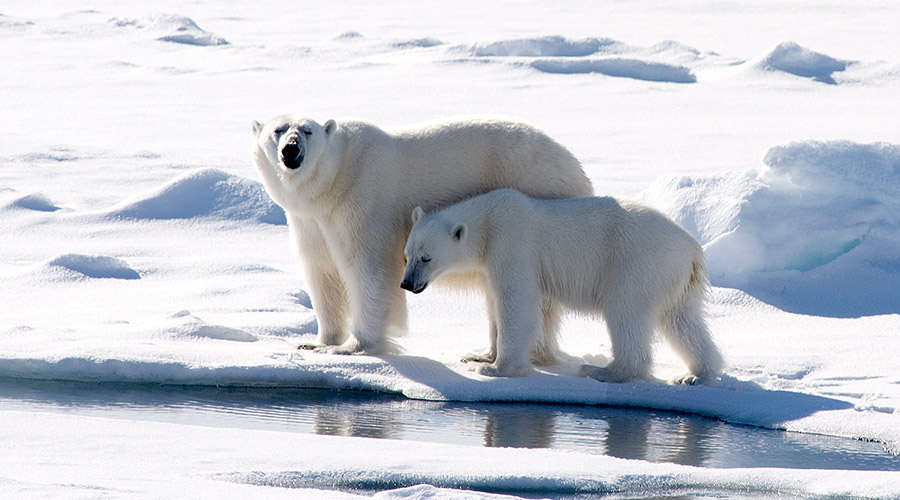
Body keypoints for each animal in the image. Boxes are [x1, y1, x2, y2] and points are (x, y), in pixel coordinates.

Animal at [251, 116, 593, 356]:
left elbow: (371, 269)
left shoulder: (364, 201)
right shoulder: (309, 221)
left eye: (307, 130)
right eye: (278, 129)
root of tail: (577, 169)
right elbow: (322, 272)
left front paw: (354, 345)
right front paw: (319, 342)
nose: (291, 149)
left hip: (536, 190)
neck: (335, 181)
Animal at [400, 188, 724, 384]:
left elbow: (516, 299)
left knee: (626, 312)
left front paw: (496, 369)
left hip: (637, 264)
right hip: (675, 279)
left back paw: (603, 370)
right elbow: (493, 300)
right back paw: (695, 374)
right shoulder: (490, 259)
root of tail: (693, 249)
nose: (406, 283)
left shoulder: (512, 242)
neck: (488, 221)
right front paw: (481, 354)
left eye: (426, 258)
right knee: (681, 320)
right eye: (407, 254)